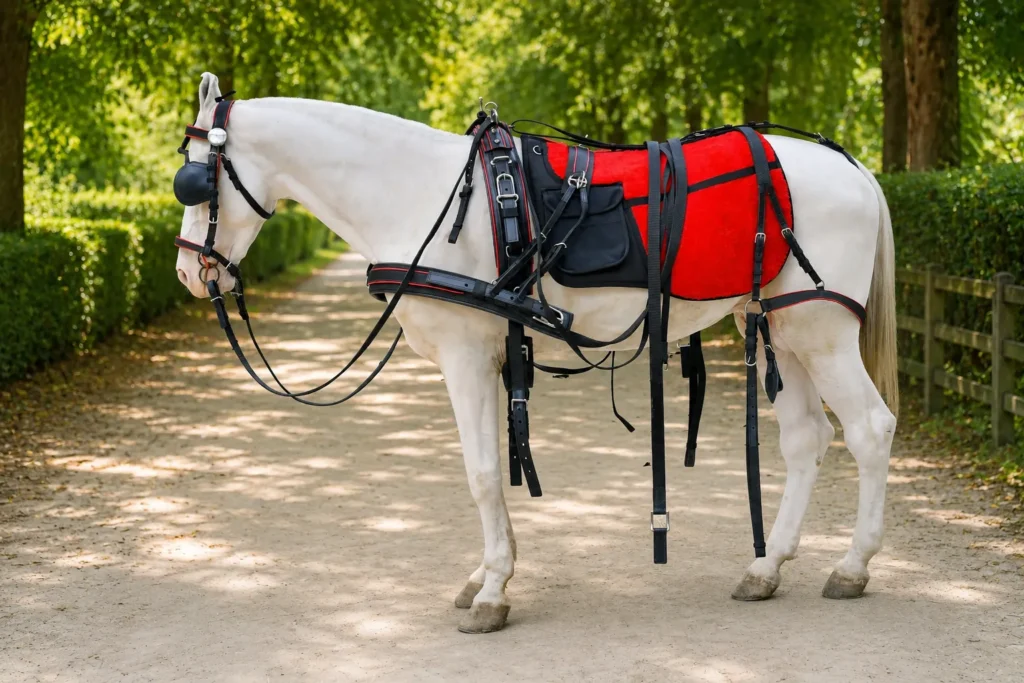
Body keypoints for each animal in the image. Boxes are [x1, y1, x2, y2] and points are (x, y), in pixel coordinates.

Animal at [174, 72, 898, 634]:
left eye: (193, 182)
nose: (188, 273)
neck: (425, 195)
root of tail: (856, 168)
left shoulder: (466, 357)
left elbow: (482, 473)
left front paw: (493, 589)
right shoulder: (493, 358)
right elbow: (494, 467)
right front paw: (490, 571)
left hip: (821, 330)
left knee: (869, 428)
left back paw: (853, 565)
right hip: (782, 325)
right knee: (806, 439)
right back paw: (767, 565)